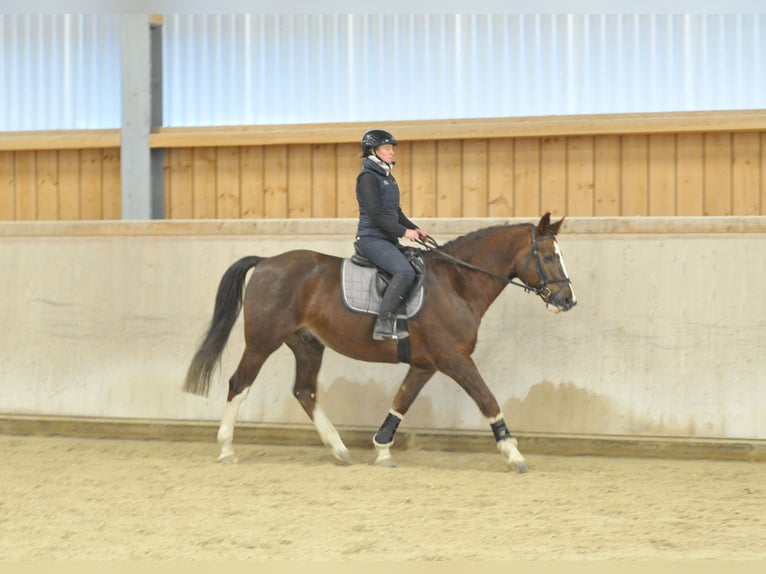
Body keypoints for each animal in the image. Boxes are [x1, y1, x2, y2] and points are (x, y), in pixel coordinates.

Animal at [183, 213, 576, 473]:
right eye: (548, 256)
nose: (568, 300)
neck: (457, 283)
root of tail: (266, 262)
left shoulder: (425, 364)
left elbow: (401, 402)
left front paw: (382, 449)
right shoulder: (455, 358)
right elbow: (487, 399)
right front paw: (514, 454)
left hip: (308, 344)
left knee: (305, 392)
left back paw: (339, 449)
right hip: (263, 341)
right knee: (239, 383)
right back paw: (226, 448)